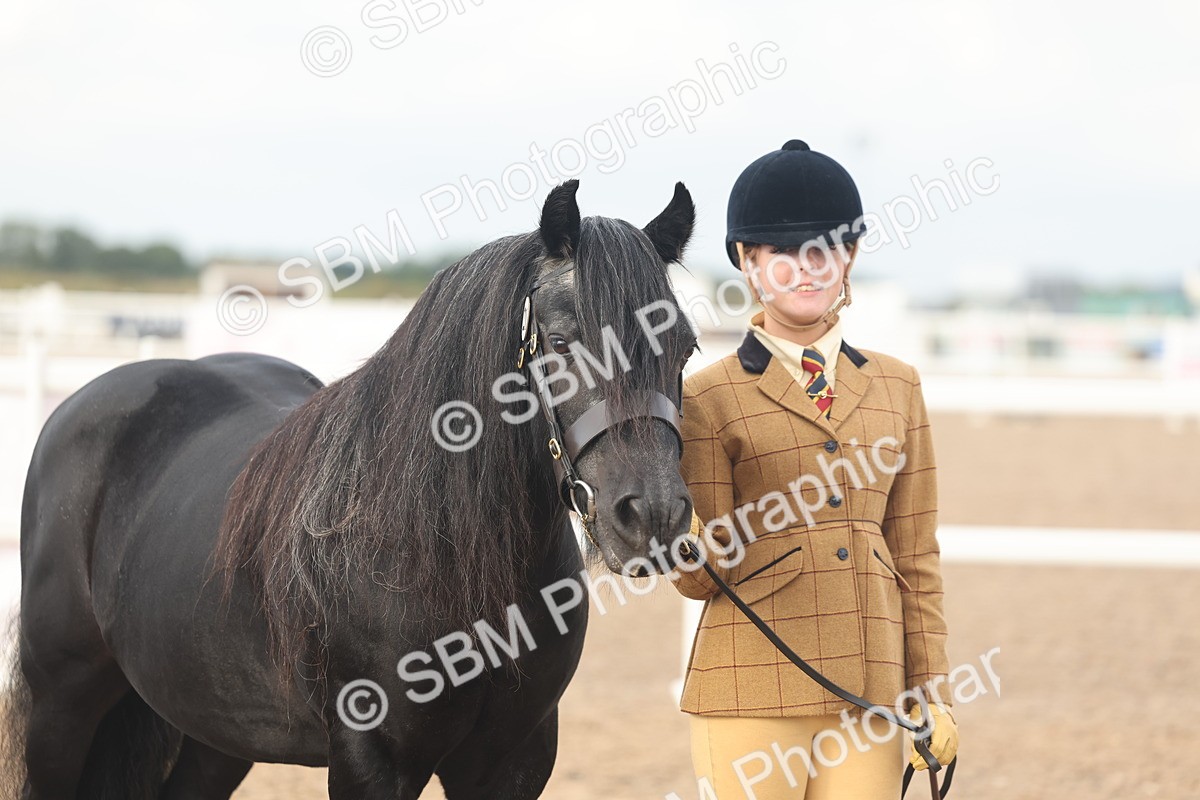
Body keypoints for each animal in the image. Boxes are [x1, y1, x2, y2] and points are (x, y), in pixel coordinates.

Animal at [0, 179, 698, 799]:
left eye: (686, 347)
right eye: (558, 342)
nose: (653, 514)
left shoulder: (514, 761)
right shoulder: (372, 761)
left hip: (217, 729)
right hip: (61, 708)